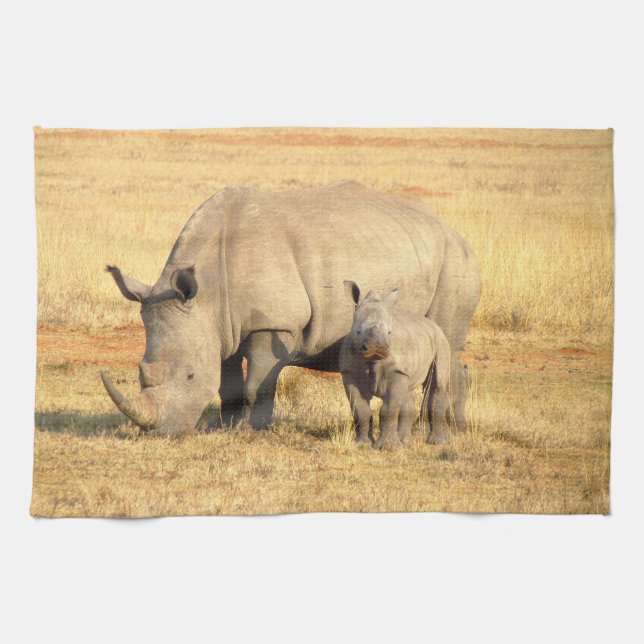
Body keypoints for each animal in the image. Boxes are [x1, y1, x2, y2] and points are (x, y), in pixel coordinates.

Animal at [339, 282, 452, 448]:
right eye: (358, 331)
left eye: (389, 332)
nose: (377, 347)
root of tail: (433, 325)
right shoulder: (349, 372)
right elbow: (360, 409)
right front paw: (362, 444)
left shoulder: (397, 370)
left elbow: (389, 408)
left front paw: (388, 447)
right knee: (407, 393)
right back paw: (406, 442)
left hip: (441, 342)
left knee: (437, 384)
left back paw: (437, 442)